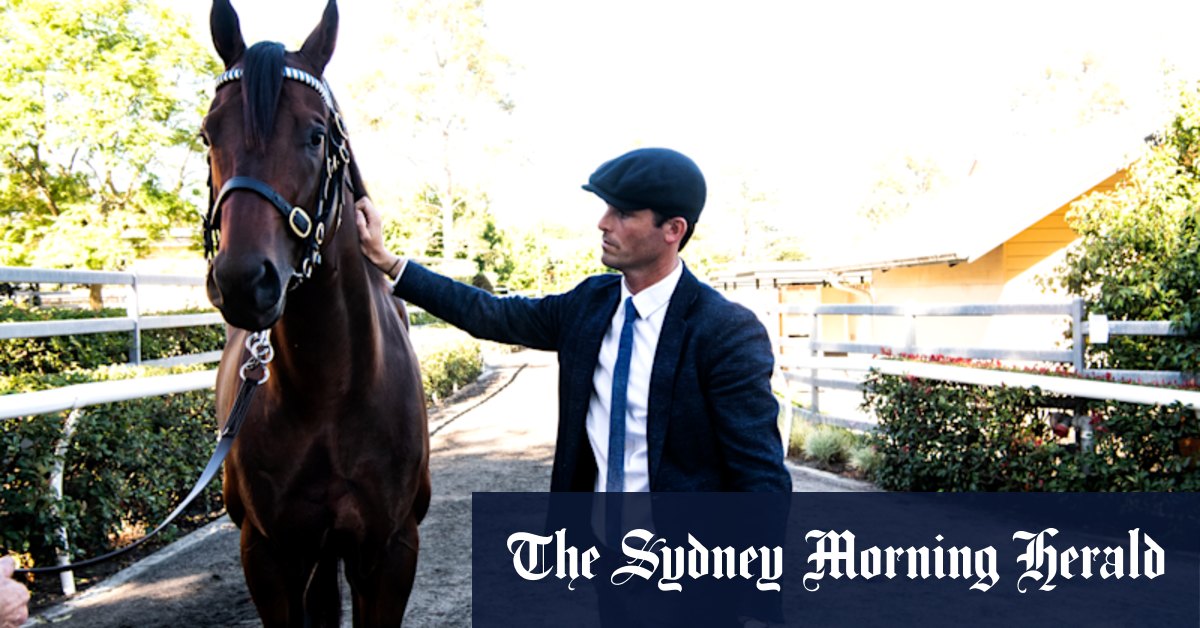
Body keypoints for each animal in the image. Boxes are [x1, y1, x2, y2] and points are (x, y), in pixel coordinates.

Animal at [202, 0, 430, 625]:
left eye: (315, 134)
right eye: (208, 132)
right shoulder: (269, 553)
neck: (329, 392)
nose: (243, 281)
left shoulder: (390, 550)